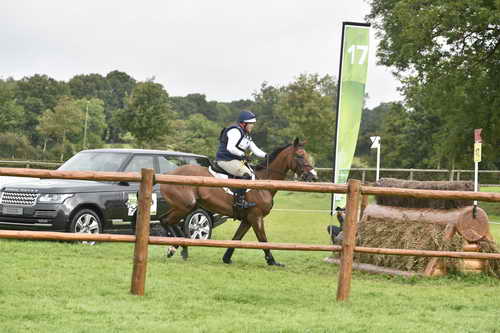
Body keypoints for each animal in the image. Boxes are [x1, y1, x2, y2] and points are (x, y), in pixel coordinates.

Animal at [158, 136, 318, 266]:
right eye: (299, 156)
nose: (313, 176)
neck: (263, 181)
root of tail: (169, 173)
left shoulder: (247, 220)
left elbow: (236, 238)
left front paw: (226, 258)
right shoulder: (256, 217)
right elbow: (263, 239)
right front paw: (272, 261)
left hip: (186, 207)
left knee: (165, 220)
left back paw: (180, 247)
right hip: (186, 206)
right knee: (166, 221)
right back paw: (176, 247)